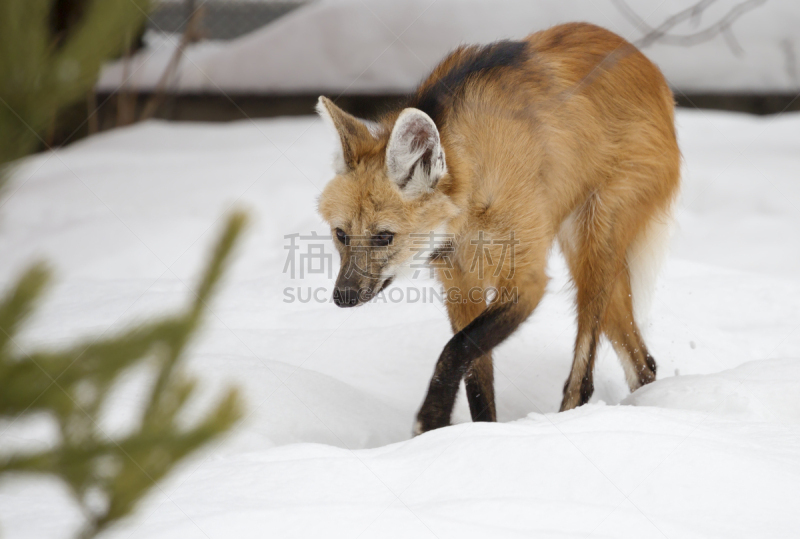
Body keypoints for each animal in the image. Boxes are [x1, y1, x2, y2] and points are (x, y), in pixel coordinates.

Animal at [316, 22, 680, 434]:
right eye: (341, 235)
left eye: (383, 237)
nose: (343, 296)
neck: (471, 202)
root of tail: (648, 67)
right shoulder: (460, 284)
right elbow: (476, 378)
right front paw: (478, 436)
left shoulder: (527, 281)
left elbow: (456, 348)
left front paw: (432, 420)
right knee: (643, 364)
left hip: (595, 237)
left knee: (584, 377)